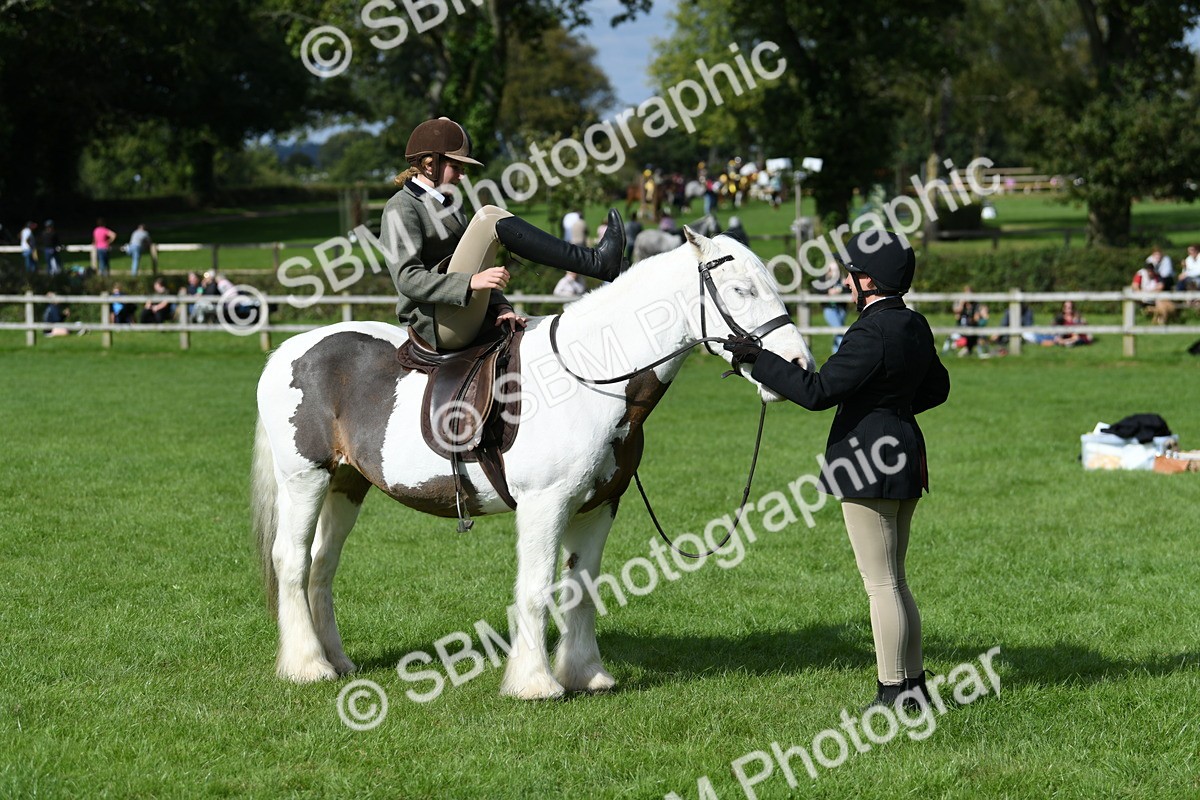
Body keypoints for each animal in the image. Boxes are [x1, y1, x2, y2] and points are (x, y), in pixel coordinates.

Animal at [251, 228, 813, 699]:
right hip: (305, 479)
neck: (590, 375)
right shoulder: (545, 505)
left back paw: (337, 661)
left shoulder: (598, 507)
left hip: (346, 484)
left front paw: (586, 674)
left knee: (322, 564)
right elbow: (538, 588)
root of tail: (289, 350)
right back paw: (308, 667)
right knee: (292, 561)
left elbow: (581, 590)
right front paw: (535, 683)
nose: (799, 367)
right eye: (741, 290)